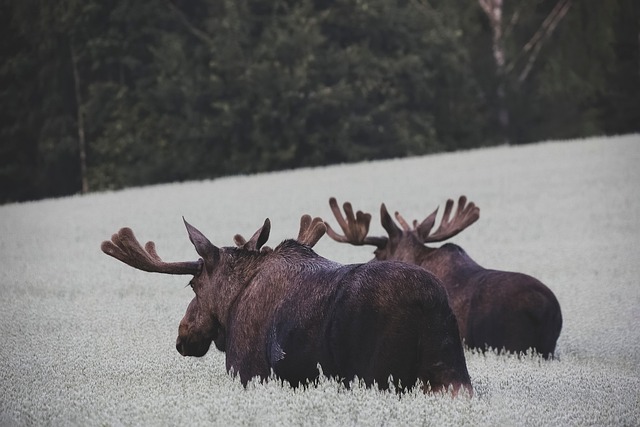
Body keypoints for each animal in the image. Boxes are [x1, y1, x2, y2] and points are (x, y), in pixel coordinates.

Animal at [101, 214, 472, 395]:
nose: (183, 336)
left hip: (378, 375)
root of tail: (430, 306)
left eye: (193, 284)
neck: (232, 306)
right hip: (452, 374)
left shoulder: (248, 371)